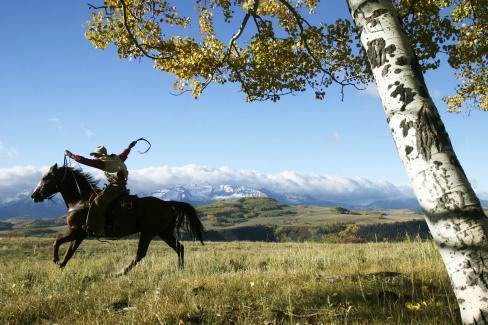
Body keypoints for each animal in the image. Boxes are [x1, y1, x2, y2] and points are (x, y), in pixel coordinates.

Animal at [30, 162, 206, 274]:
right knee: (179, 248)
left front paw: (55, 260)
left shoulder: (76, 231)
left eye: (46, 178)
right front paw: (60, 268)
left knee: (141, 254)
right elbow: (69, 253)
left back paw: (120, 272)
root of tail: (168, 203)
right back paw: (180, 270)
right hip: (163, 232)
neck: (80, 200)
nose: (34, 195)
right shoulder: (79, 234)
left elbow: (57, 242)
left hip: (149, 232)